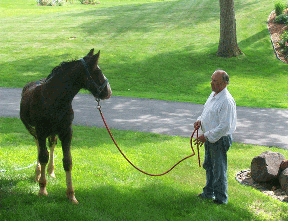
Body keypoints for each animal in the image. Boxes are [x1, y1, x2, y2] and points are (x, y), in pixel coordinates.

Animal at [19, 48, 112, 204]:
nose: (109, 92)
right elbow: (43, 156)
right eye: (97, 72)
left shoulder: (66, 132)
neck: (54, 99)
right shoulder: (41, 130)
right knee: (39, 146)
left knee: (51, 145)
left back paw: (50, 171)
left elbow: (67, 161)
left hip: (52, 131)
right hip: (34, 129)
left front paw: (71, 195)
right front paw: (42, 189)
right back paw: (38, 173)